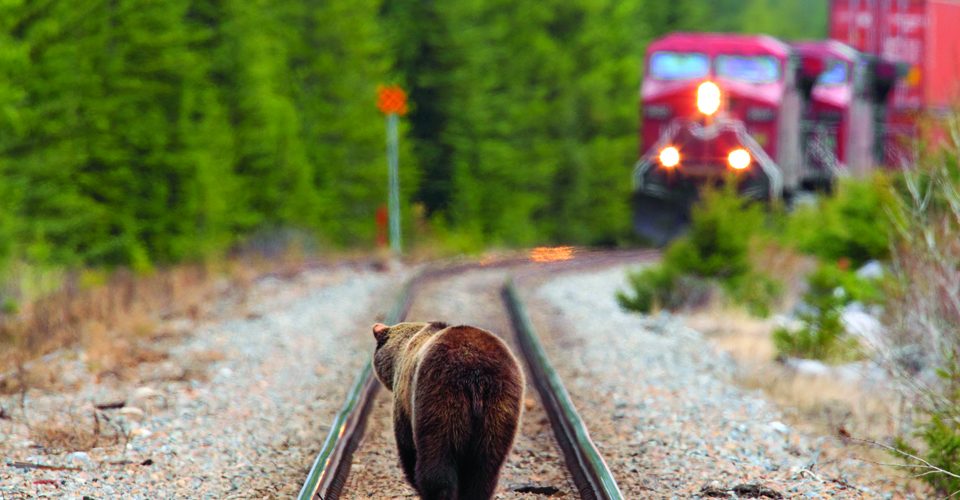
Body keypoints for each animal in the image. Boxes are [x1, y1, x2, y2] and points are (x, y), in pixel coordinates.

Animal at [374, 322, 524, 498]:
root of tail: (476, 375)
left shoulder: (404, 399)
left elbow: (407, 445)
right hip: (500, 406)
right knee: (484, 468)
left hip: (441, 398)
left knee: (437, 460)